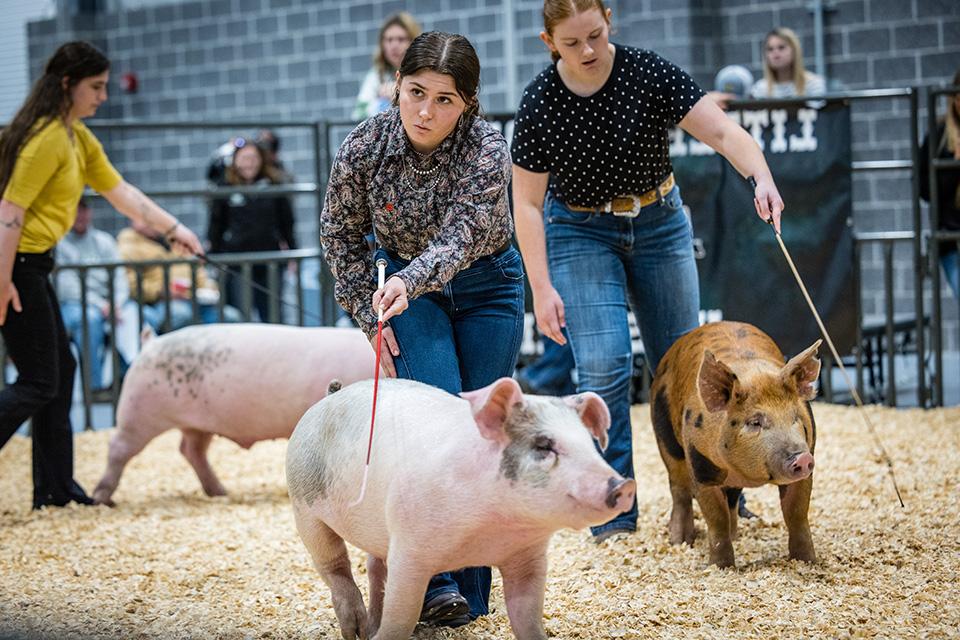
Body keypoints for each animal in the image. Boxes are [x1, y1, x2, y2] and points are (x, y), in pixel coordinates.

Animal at [92, 324, 374, 504]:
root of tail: (151, 342)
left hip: (198, 424)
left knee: (190, 450)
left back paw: (220, 492)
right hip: (138, 411)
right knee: (118, 446)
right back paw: (101, 497)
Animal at [284, 378, 636, 636]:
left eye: (590, 443)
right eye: (543, 445)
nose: (624, 485)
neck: (488, 530)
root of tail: (330, 396)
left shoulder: (529, 557)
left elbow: (527, 616)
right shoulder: (410, 551)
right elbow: (402, 617)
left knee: (374, 568)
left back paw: (370, 628)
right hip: (304, 507)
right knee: (334, 566)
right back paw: (354, 630)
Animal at [648, 322, 820, 568]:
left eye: (795, 417)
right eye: (755, 422)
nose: (802, 458)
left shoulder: (807, 465)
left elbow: (796, 513)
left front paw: (808, 562)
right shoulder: (702, 468)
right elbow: (716, 518)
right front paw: (722, 567)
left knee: (731, 498)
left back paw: (735, 536)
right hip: (665, 436)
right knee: (679, 490)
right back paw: (680, 541)